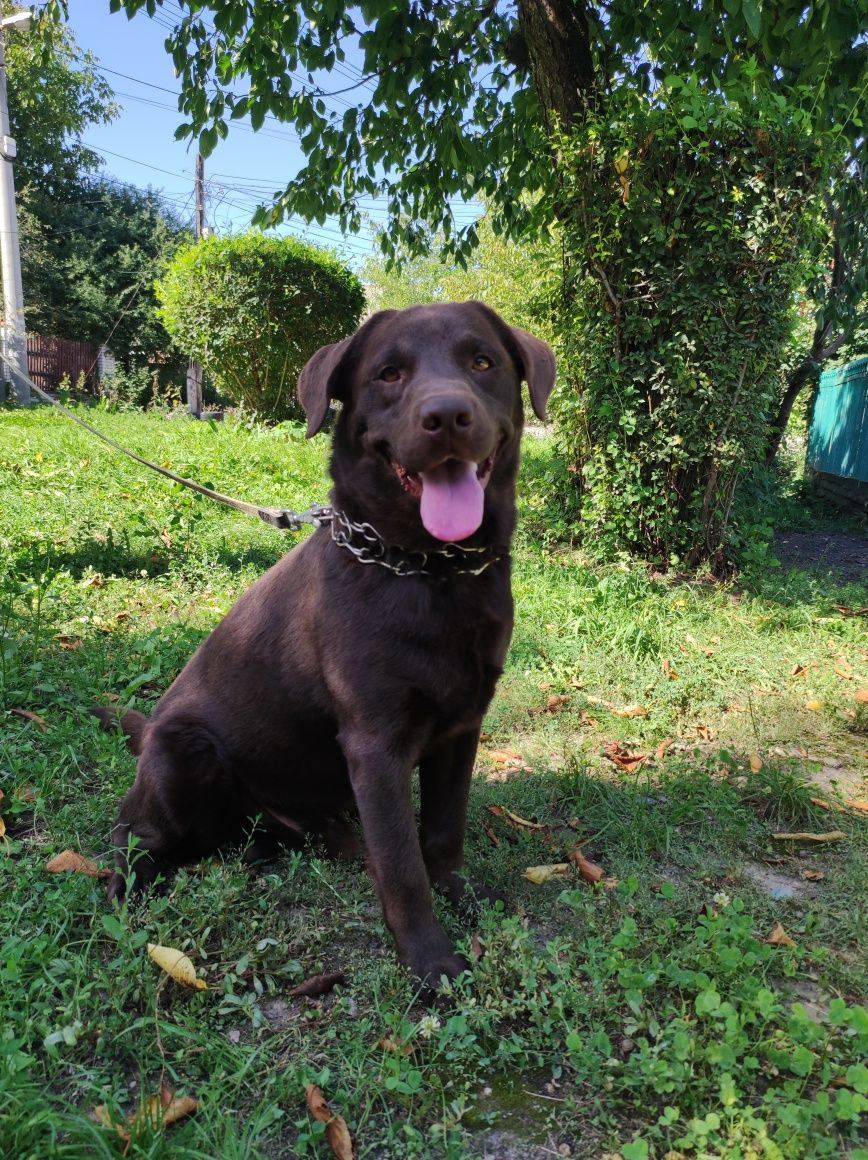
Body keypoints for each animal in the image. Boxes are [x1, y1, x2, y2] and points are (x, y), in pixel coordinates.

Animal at [99, 301, 557, 988]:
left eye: (483, 362)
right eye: (389, 374)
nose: (447, 416)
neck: (428, 569)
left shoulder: (461, 729)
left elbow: (441, 834)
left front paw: (462, 895)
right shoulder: (375, 745)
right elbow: (401, 866)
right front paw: (429, 961)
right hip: (185, 756)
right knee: (136, 837)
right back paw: (132, 881)